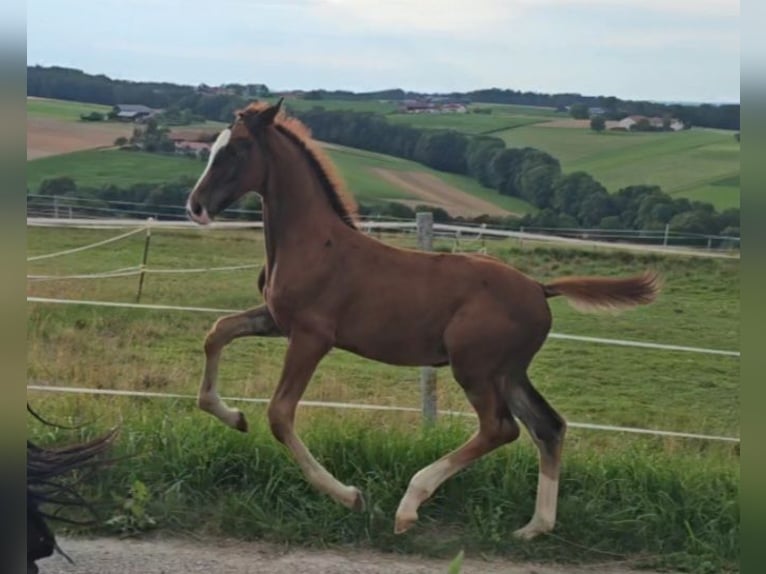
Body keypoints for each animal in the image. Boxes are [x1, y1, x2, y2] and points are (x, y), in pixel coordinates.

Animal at [184, 100, 660, 540]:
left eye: (238, 148)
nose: (196, 205)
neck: (313, 244)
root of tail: (540, 289)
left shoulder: (311, 336)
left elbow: (281, 415)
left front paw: (351, 496)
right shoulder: (277, 321)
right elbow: (217, 333)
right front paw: (233, 417)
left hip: (474, 367)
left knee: (500, 428)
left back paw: (410, 504)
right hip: (507, 371)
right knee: (547, 426)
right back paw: (534, 527)